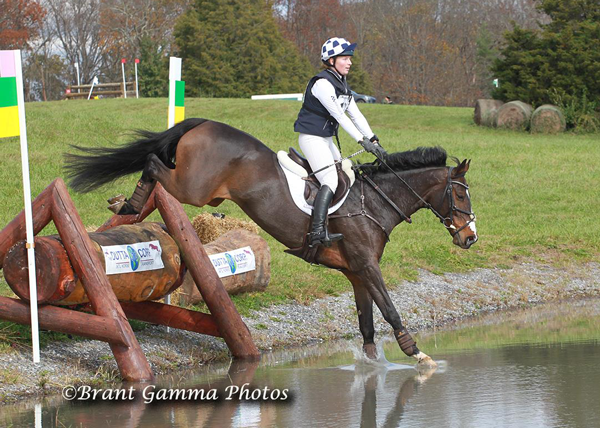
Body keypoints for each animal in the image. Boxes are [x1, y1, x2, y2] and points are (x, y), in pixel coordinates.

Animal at [65, 118, 478, 368]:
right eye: (460, 196)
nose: (470, 237)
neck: (374, 201)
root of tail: (205, 122)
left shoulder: (355, 272)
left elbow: (366, 322)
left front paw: (373, 364)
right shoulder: (367, 265)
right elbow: (389, 310)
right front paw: (419, 355)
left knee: (154, 163)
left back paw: (127, 204)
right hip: (194, 189)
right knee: (153, 162)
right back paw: (127, 203)